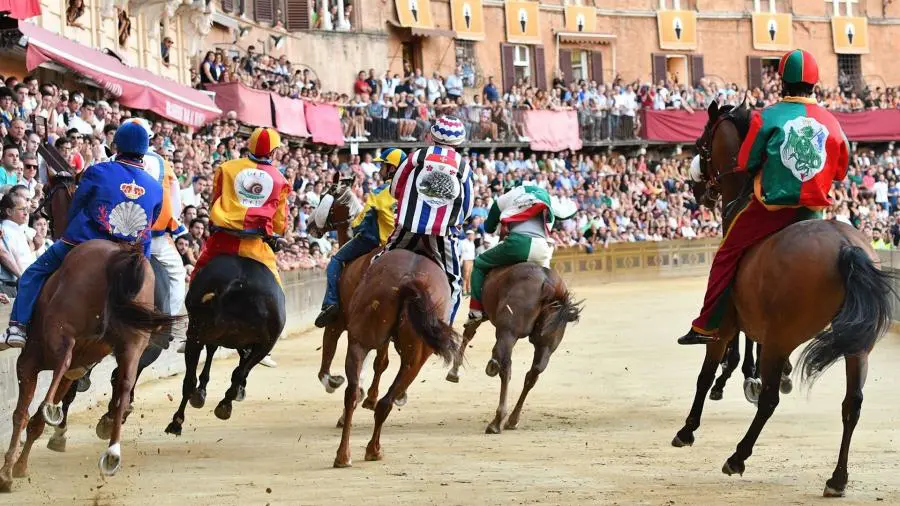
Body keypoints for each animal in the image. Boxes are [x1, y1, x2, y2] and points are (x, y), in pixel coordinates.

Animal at [0, 241, 179, 490]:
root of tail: (120, 258)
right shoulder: (69, 374)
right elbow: (35, 421)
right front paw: (19, 466)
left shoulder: (28, 363)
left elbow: (21, 414)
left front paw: (7, 472)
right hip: (133, 345)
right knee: (124, 382)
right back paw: (112, 451)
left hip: (62, 327)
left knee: (64, 358)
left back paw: (50, 408)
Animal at [334, 249, 460, 466]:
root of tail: (409, 281)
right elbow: (381, 363)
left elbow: (380, 363)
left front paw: (370, 397)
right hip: (416, 356)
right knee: (387, 400)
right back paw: (373, 449)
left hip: (361, 339)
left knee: (352, 393)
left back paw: (344, 455)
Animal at [446, 262, 580, 432]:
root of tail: (548, 285)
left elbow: (468, 333)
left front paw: (454, 371)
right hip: (546, 345)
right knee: (533, 374)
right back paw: (512, 419)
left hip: (508, 333)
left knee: (506, 368)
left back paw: (497, 420)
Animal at [676, 101, 892, 496]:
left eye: (701, 143)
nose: (696, 189)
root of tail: (846, 247)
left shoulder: (726, 322)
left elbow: (706, 372)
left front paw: (689, 427)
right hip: (858, 347)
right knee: (852, 405)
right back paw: (837, 478)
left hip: (781, 336)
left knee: (770, 401)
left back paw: (738, 456)